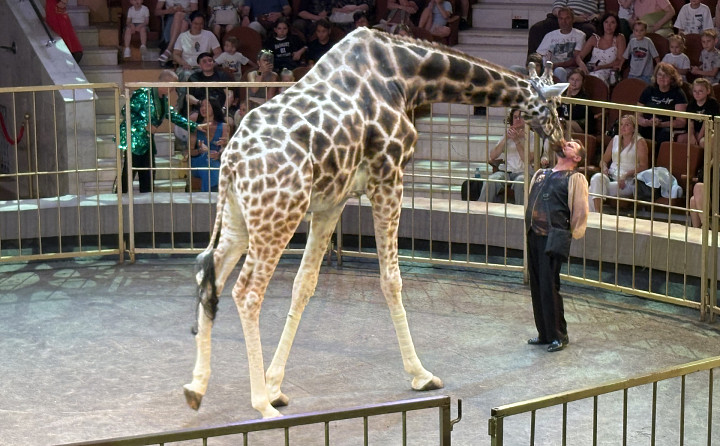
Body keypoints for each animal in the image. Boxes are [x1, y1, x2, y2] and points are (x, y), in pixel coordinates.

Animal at [183, 27, 568, 419]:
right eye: (556, 106)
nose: (562, 142)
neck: (408, 76)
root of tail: (231, 161)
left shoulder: (333, 201)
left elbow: (304, 284)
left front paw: (276, 385)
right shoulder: (388, 176)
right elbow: (391, 280)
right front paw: (422, 375)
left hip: (240, 218)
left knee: (209, 275)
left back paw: (196, 388)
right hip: (278, 215)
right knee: (247, 293)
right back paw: (260, 405)